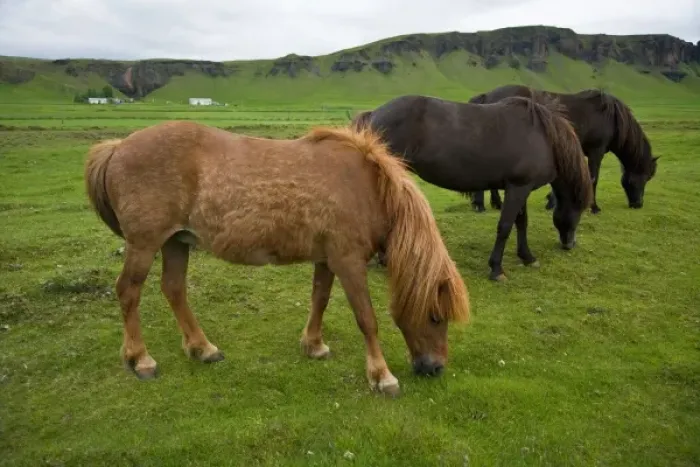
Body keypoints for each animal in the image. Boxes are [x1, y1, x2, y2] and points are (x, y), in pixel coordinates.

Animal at [83, 120, 470, 396]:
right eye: (435, 316)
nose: (435, 368)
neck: (367, 189)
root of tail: (118, 147)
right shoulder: (348, 261)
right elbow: (367, 319)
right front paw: (381, 376)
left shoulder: (327, 259)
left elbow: (320, 299)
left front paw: (313, 345)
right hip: (145, 244)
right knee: (129, 291)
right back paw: (140, 359)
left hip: (176, 241)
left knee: (174, 289)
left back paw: (202, 348)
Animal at [351, 94, 593, 281]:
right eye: (580, 209)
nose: (570, 244)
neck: (543, 137)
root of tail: (374, 114)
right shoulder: (518, 188)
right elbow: (505, 226)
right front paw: (496, 269)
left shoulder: (521, 188)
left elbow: (521, 222)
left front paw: (527, 257)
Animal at [466, 84, 659, 214]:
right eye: (645, 178)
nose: (638, 204)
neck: (610, 117)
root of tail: (487, 96)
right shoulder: (596, 151)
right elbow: (593, 178)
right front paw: (594, 207)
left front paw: (551, 202)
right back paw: (482, 205)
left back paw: (494, 204)